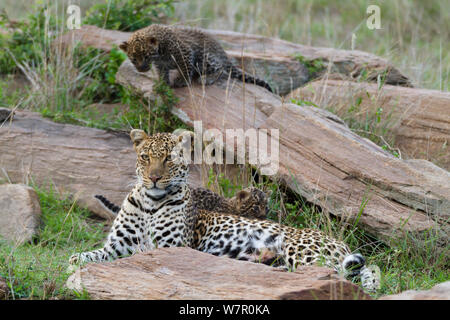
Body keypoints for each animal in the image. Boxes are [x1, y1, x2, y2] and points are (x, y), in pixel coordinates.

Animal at [69, 130, 380, 292]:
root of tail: (340, 243)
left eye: (169, 159)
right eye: (145, 157)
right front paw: (76, 265)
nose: (154, 178)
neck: (149, 204)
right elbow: (80, 257)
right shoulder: (115, 246)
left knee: (340, 273)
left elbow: (140, 257)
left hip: (302, 250)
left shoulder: (170, 247)